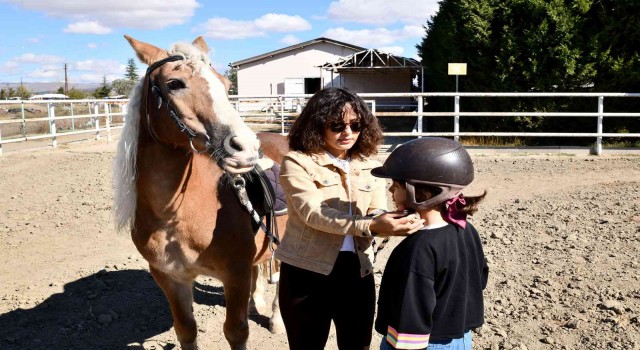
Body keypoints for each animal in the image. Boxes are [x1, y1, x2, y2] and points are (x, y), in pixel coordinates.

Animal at [112, 35, 288, 350]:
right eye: (174, 83)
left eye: (226, 84)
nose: (245, 147)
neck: (174, 214)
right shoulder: (171, 278)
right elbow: (186, 330)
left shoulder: (235, 275)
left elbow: (236, 331)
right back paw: (256, 301)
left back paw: (276, 320)